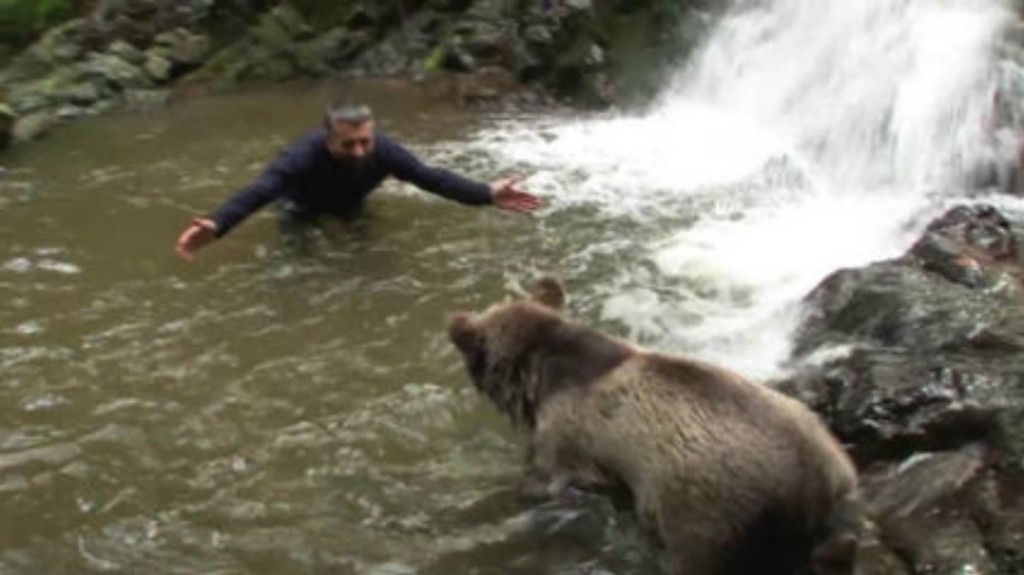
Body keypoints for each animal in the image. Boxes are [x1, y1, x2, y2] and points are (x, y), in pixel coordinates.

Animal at [448, 276, 864, 568]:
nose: (457, 325)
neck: (543, 375)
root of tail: (819, 480)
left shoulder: (566, 440)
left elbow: (544, 479)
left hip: (709, 513)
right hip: (831, 494)